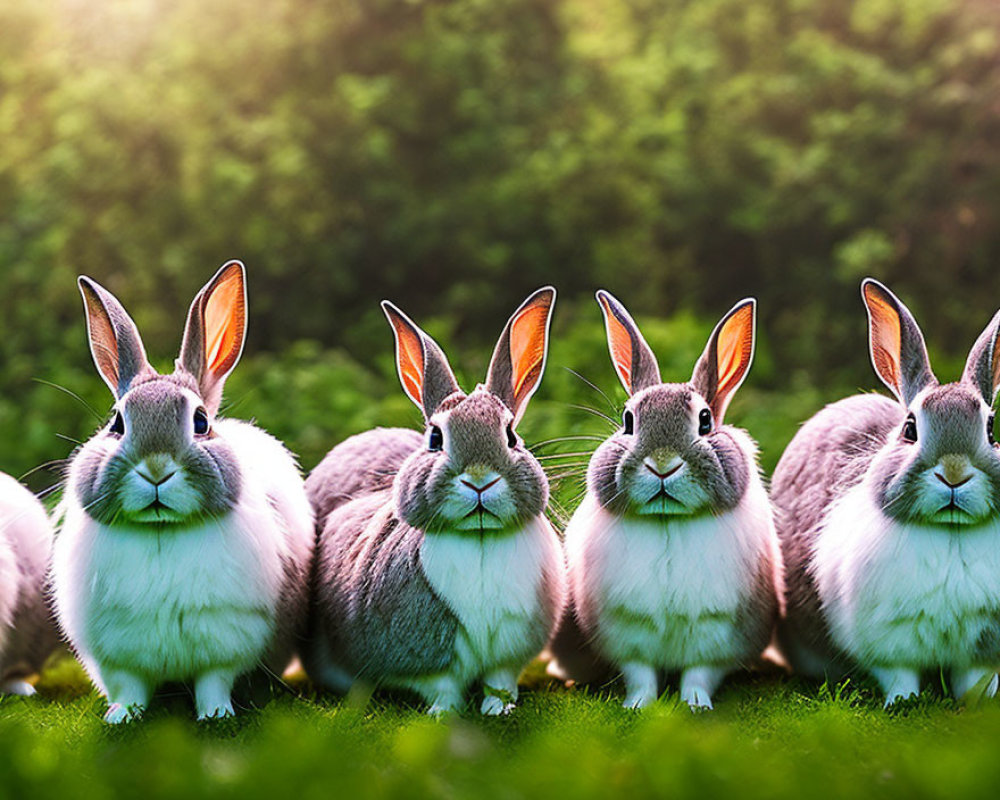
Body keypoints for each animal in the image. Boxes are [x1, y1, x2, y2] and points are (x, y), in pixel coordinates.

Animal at [49, 264, 312, 724]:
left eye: (201, 421)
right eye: (117, 423)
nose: (156, 469)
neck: (162, 531)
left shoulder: (226, 642)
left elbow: (213, 683)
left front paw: (216, 716)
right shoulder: (117, 657)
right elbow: (131, 687)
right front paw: (121, 717)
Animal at [304, 288, 568, 712]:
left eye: (511, 436)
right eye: (435, 438)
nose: (479, 480)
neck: (479, 539)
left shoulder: (508, 654)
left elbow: (500, 680)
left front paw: (500, 708)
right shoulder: (426, 656)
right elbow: (441, 687)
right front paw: (443, 715)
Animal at [556, 290, 780, 708]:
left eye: (705, 421)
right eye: (628, 422)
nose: (662, 465)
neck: (668, 521)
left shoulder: (717, 634)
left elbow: (699, 674)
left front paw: (696, 705)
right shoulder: (628, 633)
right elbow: (640, 674)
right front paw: (637, 706)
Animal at [776, 278, 1000, 704]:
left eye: (992, 429)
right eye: (910, 429)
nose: (954, 474)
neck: (950, 532)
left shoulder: (983, 643)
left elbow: (975, 678)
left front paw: (981, 703)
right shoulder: (887, 638)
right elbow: (899, 674)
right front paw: (904, 703)